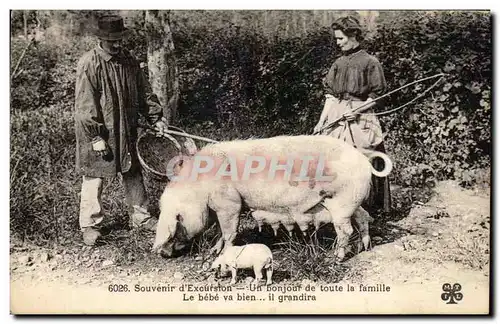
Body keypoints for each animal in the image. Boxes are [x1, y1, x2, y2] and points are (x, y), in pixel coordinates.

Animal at [152, 134, 376, 260]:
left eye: (177, 224)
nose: (162, 254)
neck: (199, 188)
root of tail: (363, 161)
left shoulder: (229, 203)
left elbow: (229, 233)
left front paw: (223, 254)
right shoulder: (217, 208)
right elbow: (219, 232)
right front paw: (213, 251)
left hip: (341, 200)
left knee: (345, 229)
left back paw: (336, 257)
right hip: (351, 202)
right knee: (363, 218)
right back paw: (364, 248)